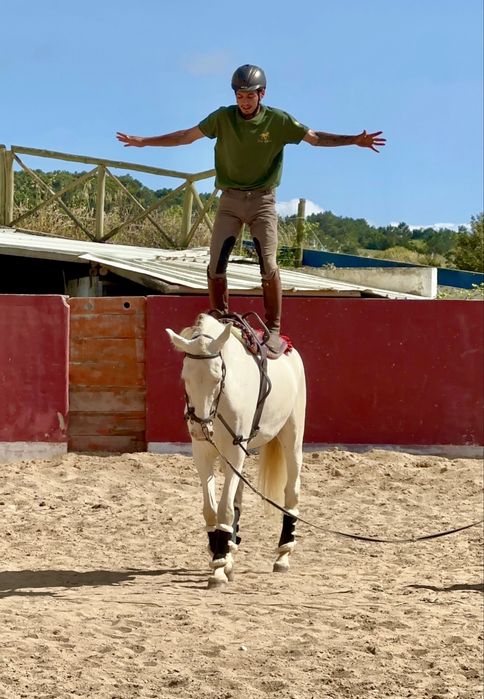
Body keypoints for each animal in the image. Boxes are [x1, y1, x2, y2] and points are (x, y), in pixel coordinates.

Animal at [166, 312, 306, 589]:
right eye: (185, 378)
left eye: (217, 377)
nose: (199, 428)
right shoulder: (203, 453)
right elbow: (211, 509)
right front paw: (221, 552)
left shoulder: (235, 452)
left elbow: (224, 508)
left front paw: (220, 566)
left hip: (292, 438)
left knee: (291, 491)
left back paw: (283, 554)